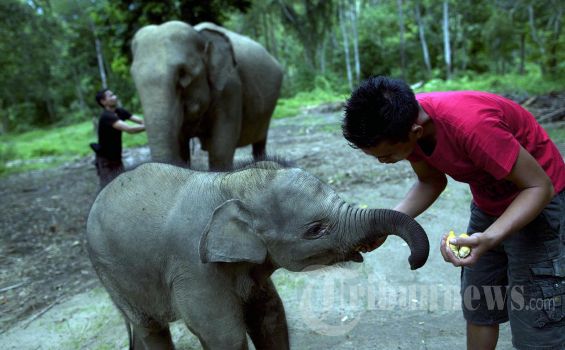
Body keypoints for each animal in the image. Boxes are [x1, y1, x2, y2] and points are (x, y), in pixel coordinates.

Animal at [86, 160, 428, 348]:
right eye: (315, 229)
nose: (413, 262)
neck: (230, 184)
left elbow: (271, 318)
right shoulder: (195, 268)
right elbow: (224, 335)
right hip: (111, 274)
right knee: (151, 328)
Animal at [131, 21, 284, 170]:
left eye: (183, 74)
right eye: (133, 75)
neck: (200, 35)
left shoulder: (230, 88)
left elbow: (221, 149)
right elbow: (182, 149)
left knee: (260, 142)